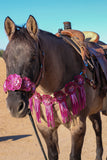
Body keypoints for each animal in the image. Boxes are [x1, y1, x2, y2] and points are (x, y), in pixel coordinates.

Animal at [2, 14, 106, 159]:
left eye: (33, 56)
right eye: (5, 57)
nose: (14, 106)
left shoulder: (78, 127)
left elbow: (74, 156)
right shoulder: (46, 129)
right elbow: (52, 154)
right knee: (97, 126)